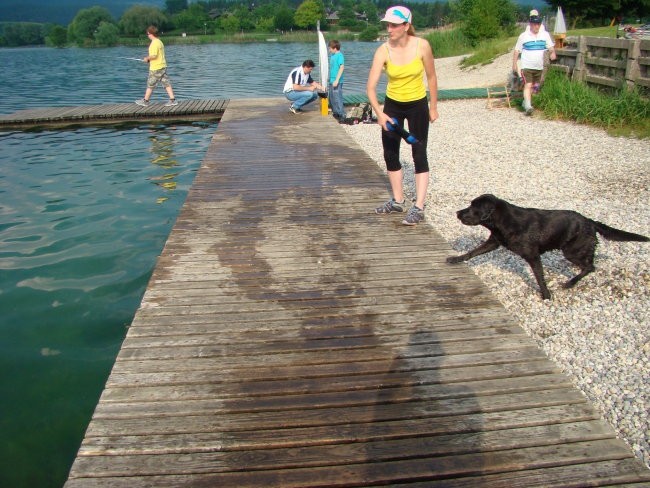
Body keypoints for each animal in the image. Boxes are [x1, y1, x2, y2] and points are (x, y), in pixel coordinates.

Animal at [446, 194, 648, 298]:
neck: (504, 221)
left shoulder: (533, 255)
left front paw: (546, 294)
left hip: (571, 251)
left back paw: (570, 283)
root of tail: (590, 221)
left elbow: (539, 276)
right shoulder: (494, 242)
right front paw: (455, 258)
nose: (457, 213)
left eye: (473, 207)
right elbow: (472, 252)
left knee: (590, 266)